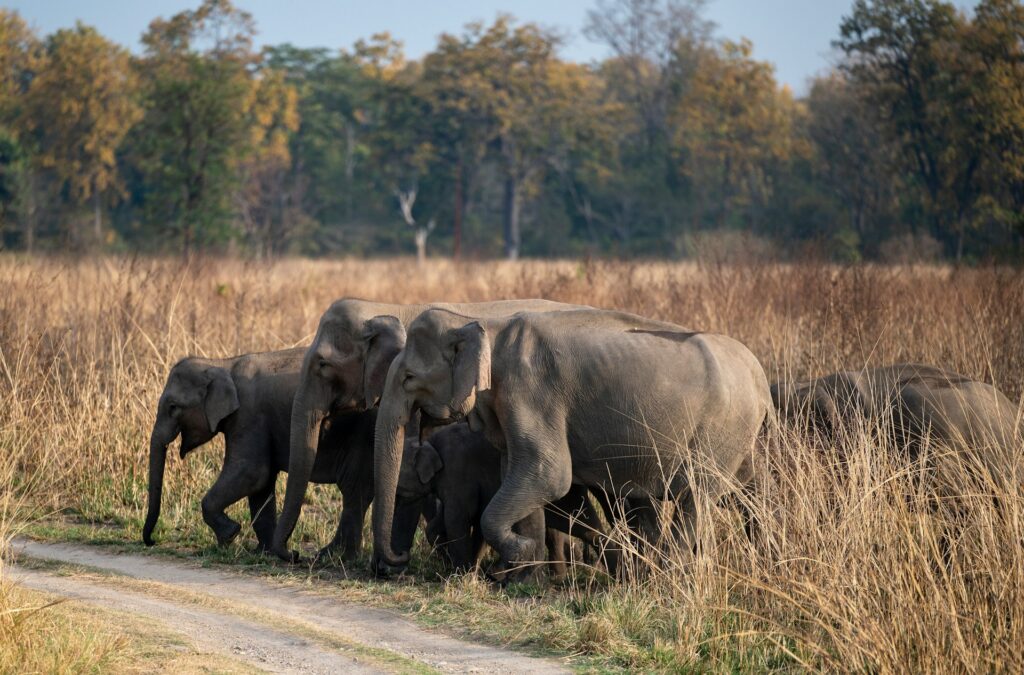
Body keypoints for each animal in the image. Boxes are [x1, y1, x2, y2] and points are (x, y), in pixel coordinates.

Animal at [143, 348, 422, 559]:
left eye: (173, 407)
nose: (151, 541)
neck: (222, 364)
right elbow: (261, 485)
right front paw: (263, 552)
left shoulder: (249, 416)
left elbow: (251, 473)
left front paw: (230, 535)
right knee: (357, 494)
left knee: (354, 491)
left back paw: (336, 557)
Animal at [396, 423, 616, 579]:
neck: (429, 441)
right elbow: (445, 521)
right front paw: (463, 566)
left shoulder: (457, 472)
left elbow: (457, 518)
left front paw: (461, 574)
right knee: (577, 523)